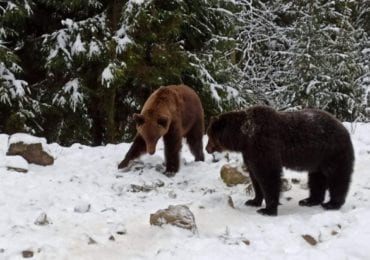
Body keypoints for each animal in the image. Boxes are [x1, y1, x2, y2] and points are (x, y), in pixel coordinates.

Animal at [207, 105, 354, 215]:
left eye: (209, 135)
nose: (207, 148)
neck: (244, 137)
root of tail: (344, 128)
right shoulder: (250, 153)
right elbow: (255, 176)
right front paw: (253, 201)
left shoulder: (263, 145)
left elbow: (268, 176)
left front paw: (267, 209)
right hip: (317, 159)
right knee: (316, 178)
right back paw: (309, 200)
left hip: (332, 152)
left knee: (337, 177)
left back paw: (332, 204)